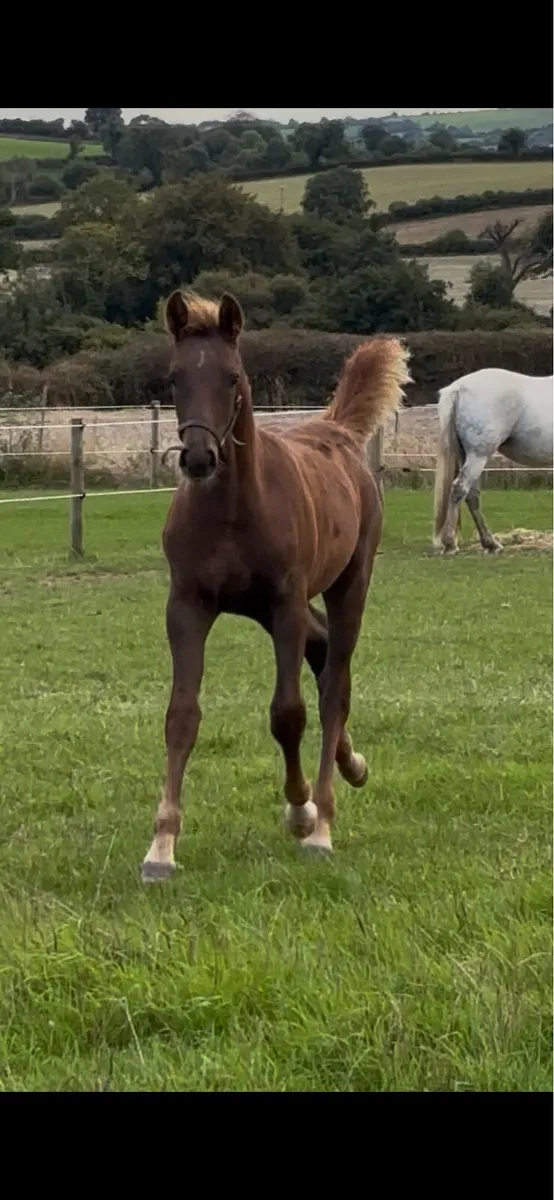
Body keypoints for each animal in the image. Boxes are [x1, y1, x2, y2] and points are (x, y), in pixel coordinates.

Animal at [141, 291, 411, 881]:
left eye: (232, 377)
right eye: (173, 378)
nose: (199, 459)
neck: (232, 509)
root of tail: (339, 432)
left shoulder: (286, 602)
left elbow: (288, 713)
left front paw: (300, 811)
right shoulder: (187, 605)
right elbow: (181, 716)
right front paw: (161, 847)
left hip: (347, 585)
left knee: (334, 686)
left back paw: (325, 820)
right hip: (271, 607)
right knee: (324, 650)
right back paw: (353, 764)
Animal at [433, 366, 553, 555]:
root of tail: (458, 388)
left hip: (466, 455)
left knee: (471, 496)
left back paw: (490, 544)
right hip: (478, 455)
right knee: (459, 489)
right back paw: (451, 544)